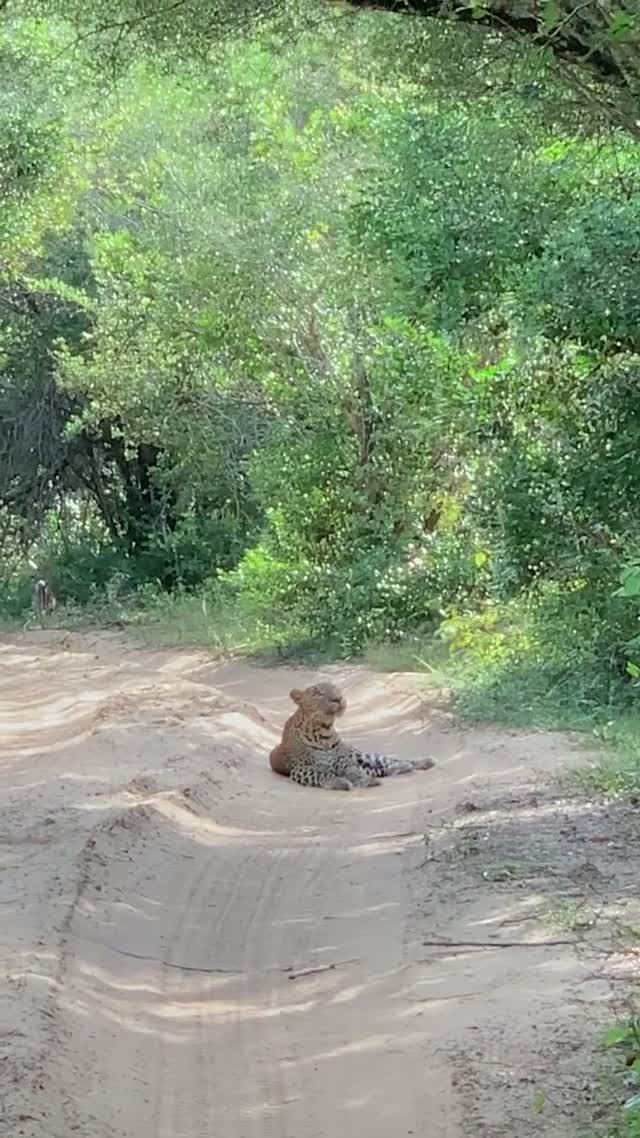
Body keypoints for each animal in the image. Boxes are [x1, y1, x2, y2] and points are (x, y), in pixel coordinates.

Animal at [269, 680, 435, 791]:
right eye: (318, 693)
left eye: (336, 689)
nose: (338, 698)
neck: (324, 732)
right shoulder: (301, 768)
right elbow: (322, 774)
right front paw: (339, 782)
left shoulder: (344, 761)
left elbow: (353, 771)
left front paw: (363, 780)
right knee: (380, 769)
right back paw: (399, 769)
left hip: (360, 756)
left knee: (388, 761)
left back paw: (422, 762)